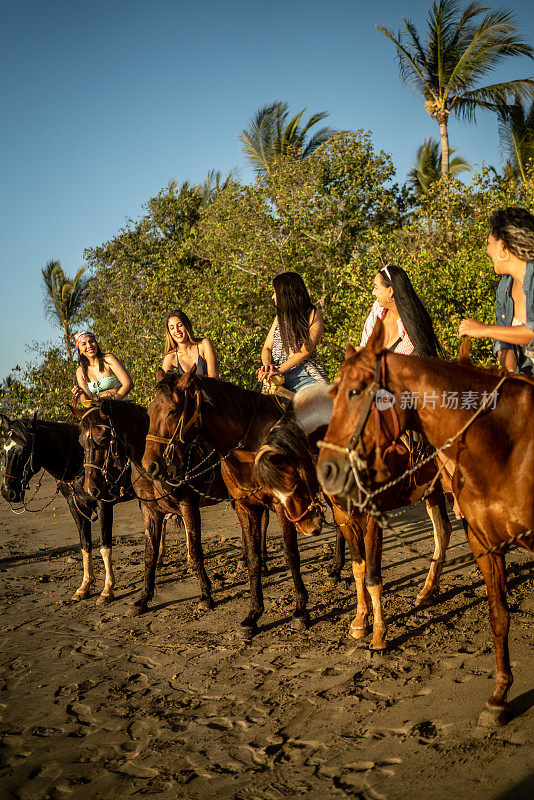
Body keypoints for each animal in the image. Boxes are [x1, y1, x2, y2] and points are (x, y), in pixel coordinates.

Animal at [142, 368, 324, 636]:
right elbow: (252, 557)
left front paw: (301, 610)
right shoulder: (245, 506)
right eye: (149, 411)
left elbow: (291, 554)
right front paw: (253, 614)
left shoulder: (284, 506)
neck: (248, 448)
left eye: (173, 411)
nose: (149, 466)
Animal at [318, 320, 534, 724]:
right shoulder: (346, 519)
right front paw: (360, 621)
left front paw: (379, 636)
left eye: (355, 391)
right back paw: (427, 591)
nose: (327, 470)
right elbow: (358, 568)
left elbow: (373, 575)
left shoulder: (372, 517)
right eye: (332, 393)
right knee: (444, 531)